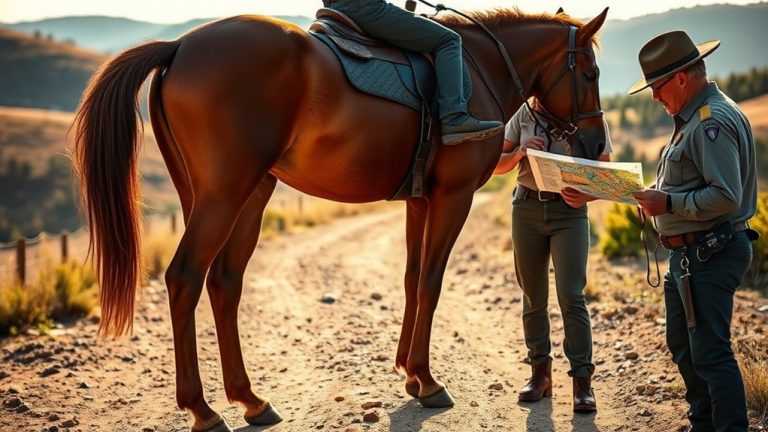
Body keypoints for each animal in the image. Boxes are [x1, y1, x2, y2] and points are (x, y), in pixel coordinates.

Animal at [73, 6, 608, 431]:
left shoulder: (419, 201)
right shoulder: (451, 198)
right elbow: (431, 283)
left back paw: (251, 401)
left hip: (241, 195)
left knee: (224, 283)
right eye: (590, 74)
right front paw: (427, 380)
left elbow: (411, 279)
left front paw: (407, 372)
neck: (478, 67)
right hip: (224, 196)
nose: (597, 146)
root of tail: (180, 45)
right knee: (185, 278)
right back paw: (202, 410)